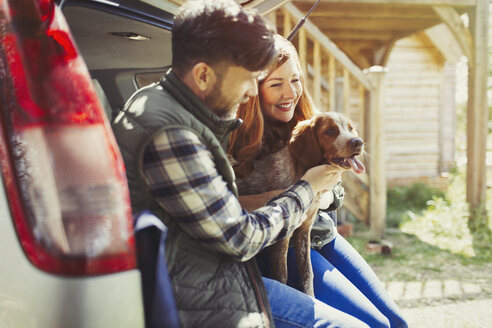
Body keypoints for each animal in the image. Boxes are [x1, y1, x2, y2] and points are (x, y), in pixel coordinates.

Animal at [236, 111, 368, 296]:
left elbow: (307, 272)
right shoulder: (282, 237)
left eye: (350, 128)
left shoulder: (304, 231)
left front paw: (310, 296)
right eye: (329, 131)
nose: (358, 142)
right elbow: (282, 276)